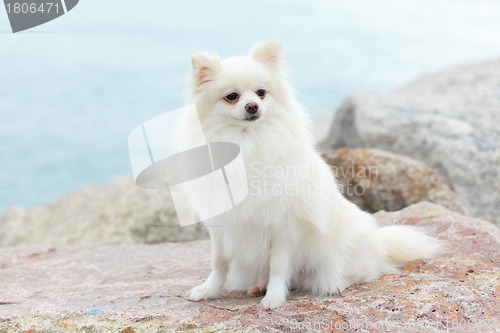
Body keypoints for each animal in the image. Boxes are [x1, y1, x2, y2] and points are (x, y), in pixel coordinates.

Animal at [181, 39, 438, 308]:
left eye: (261, 92)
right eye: (232, 96)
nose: (253, 106)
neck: (246, 142)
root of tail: (380, 242)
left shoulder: (283, 226)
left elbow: (278, 266)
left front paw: (274, 297)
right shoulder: (221, 224)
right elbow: (219, 262)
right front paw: (208, 290)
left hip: (339, 245)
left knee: (360, 271)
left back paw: (336, 283)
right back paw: (259, 285)